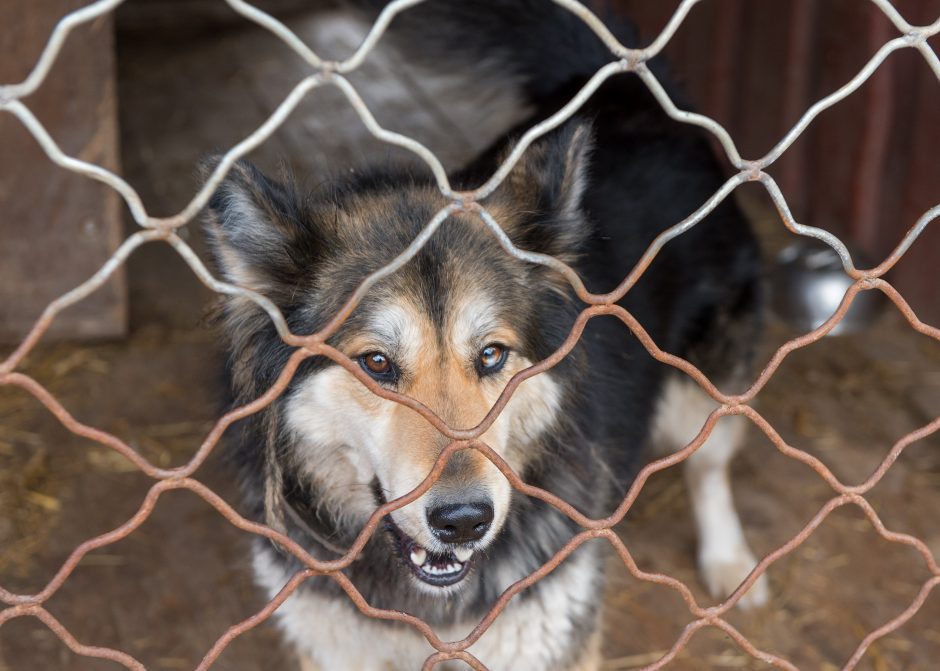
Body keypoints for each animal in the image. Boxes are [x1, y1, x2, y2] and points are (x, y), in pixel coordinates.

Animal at [202, 1, 768, 671]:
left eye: (492, 355)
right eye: (376, 364)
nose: (465, 521)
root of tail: (630, 89)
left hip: (702, 390)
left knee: (709, 464)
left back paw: (729, 561)